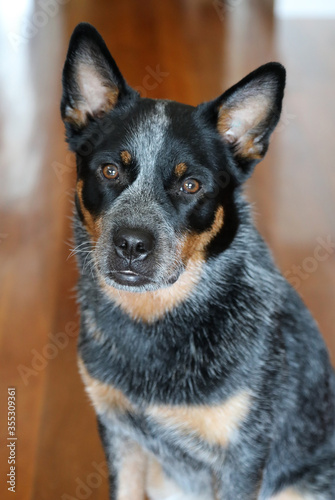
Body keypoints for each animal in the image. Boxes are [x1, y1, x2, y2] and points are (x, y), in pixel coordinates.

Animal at [61, 21, 335, 498]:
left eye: (190, 185)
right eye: (110, 170)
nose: (131, 244)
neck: (154, 319)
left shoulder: (242, 455)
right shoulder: (118, 431)